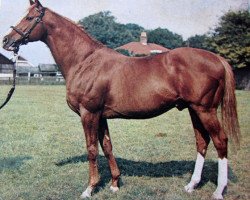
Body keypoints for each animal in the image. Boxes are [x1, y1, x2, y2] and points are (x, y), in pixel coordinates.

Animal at [2, 0, 240, 199]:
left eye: (30, 17)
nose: (7, 40)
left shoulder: (89, 113)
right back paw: (191, 185)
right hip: (193, 109)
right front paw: (115, 184)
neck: (85, 61)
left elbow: (92, 149)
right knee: (202, 142)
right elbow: (107, 146)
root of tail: (217, 58)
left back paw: (218, 191)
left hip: (205, 110)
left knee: (220, 141)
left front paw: (89, 188)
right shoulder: (101, 116)